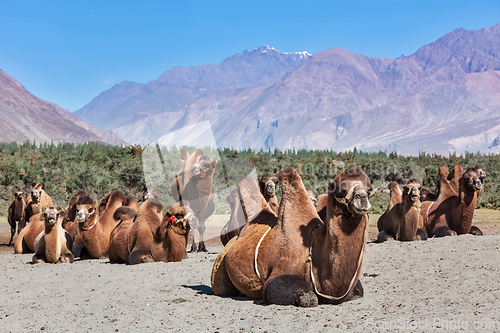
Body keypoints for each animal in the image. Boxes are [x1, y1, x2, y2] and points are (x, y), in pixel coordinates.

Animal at [211, 166, 372, 306]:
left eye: (369, 189)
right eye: (341, 189)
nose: (362, 198)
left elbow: (359, 291)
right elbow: (305, 297)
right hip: (220, 270)